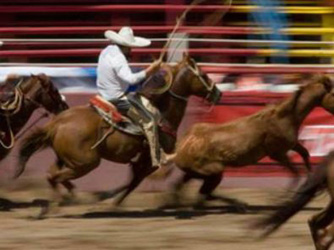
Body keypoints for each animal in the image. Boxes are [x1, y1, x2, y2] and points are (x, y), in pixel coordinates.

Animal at [14, 53, 222, 210]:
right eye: (203, 75)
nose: (218, 93)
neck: (161, 113)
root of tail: (56, 123)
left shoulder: (141, 161)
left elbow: (132, 180)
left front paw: (107, 198)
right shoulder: (151, 161)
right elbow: (135, 181)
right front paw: (112, 201)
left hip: (67, 159)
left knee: (52, 173)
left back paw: (72, 197)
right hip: (86, 163)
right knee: (53, 177)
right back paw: (64, 202)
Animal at [168, 74, 334, 207]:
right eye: (333, 93)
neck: (286, 116)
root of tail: (181, 146)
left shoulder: (291, 145)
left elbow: (305, 154)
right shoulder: (278, 153)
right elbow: (295, 173)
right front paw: (282, 198)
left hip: (196, 173)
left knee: (183, 187)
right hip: (213, 172)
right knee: (203, 193)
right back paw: (237, 204)